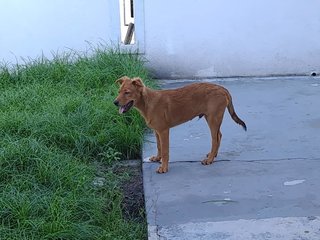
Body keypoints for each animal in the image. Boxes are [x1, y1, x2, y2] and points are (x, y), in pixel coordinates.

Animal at [114, 76, 246, 172]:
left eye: (127, 92)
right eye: (119, 91)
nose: (114, 102)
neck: (148, 102)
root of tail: (222, 89)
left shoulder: (163, 131)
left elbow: (165, 151)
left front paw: (163, 168)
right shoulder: (157, 131)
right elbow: (159, 147)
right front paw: (157, 158)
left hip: (213, 118)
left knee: (215, 138)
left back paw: (209, 159)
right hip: (211, 118)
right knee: (219, 135)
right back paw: (213, 155)